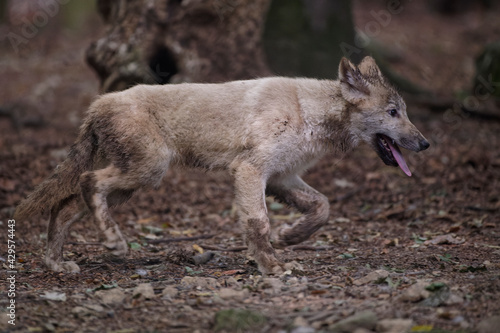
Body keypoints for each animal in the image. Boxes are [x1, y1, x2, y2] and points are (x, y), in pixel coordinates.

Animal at [14, 57, 430, 274]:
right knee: (88, 182)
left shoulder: (281, 177)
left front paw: (289, 238)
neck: (307, 111)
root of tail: (97, 104)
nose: (425, 144)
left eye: (405, 112)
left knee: (66, 207)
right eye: (393, 113)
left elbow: (322, 207)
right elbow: (258, 222)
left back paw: (56, 264)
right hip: (147, 172)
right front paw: (271, 265)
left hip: (133, 184)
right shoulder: (249, 170)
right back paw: (114, 243)